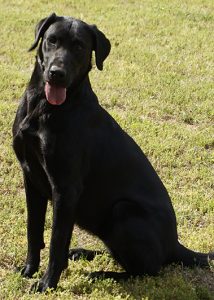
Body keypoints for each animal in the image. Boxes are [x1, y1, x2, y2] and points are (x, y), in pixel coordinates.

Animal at [12, 12, 212, 292]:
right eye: (52, 40)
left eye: (79, 47)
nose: (56, 74)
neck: (43, 106)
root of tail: (175, 244)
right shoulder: (31, 177)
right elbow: (34, 231)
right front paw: (29, 270)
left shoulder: (66, 188)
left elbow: (55, 242)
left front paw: (47, 284)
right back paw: (84, 253)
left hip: (123, 212)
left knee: (147, 270)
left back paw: (101, 274)